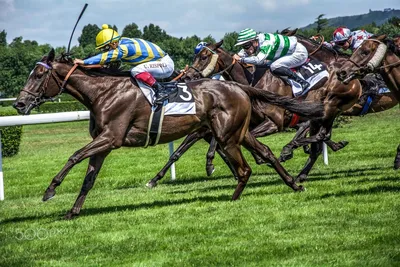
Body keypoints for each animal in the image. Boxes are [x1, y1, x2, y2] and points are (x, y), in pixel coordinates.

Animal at [13, 49, 324, 219]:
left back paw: (234, 198)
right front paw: (73, 211)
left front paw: (50, 190)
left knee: (244, 168)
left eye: (38, 75)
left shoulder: (111, 137)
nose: (19, 103)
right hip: (239, 132)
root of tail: (238, 86)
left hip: (227, 136)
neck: (104, 92)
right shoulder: (104, 144)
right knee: (267, 154)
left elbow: (74, 155)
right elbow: (88, 178)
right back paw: (294, 184)